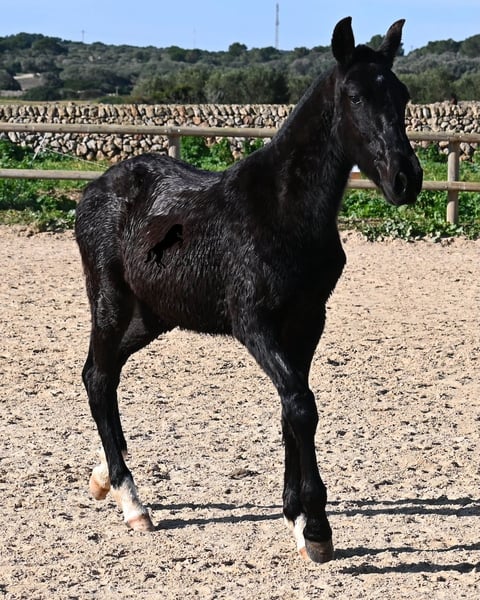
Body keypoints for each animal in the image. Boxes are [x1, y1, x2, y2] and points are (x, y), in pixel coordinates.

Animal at [74, 17, 423, 563]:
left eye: (403, 96)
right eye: (355, 96)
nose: (405, 179)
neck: (283, 211)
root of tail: (95, 188)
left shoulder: (308, 321)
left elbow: (290, 408)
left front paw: (296, 517)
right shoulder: (254, 323)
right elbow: (301, 405)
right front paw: (317, 529)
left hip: (153, 315)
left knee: (102, 374)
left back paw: (103, 478)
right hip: (110, 300)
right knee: (99, 376)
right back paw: (133, 501)